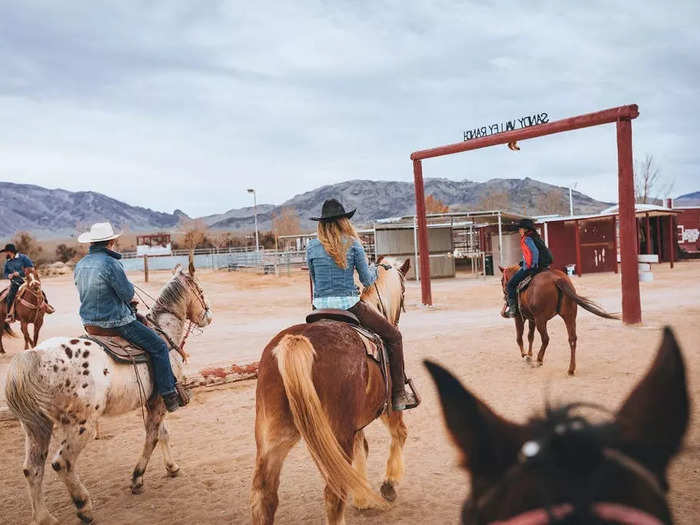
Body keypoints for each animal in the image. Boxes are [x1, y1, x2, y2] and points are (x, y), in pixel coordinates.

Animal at [5, 262, 212, 524]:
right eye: (200, 291)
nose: (208, 316)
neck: (163, 333)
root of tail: (34, 356)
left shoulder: (154, 400)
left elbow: (162, 434)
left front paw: (171, 467)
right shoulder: (162, 399)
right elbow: (152, 437)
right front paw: (137, 479)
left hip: (36, 427)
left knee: (32, 468)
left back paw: (44, 517)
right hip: (80, 426)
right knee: (62, 463)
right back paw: (83, 507)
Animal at [252, 258, 412, 524]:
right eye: (404, 290)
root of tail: (296, 342)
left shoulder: (356, 425)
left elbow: (361, 450)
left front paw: (363, 498)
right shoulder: (388, 408)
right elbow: (399, 433)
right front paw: (388, 485)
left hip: (273, 438)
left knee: (264, 496)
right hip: (337, 434)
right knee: (333, 494)